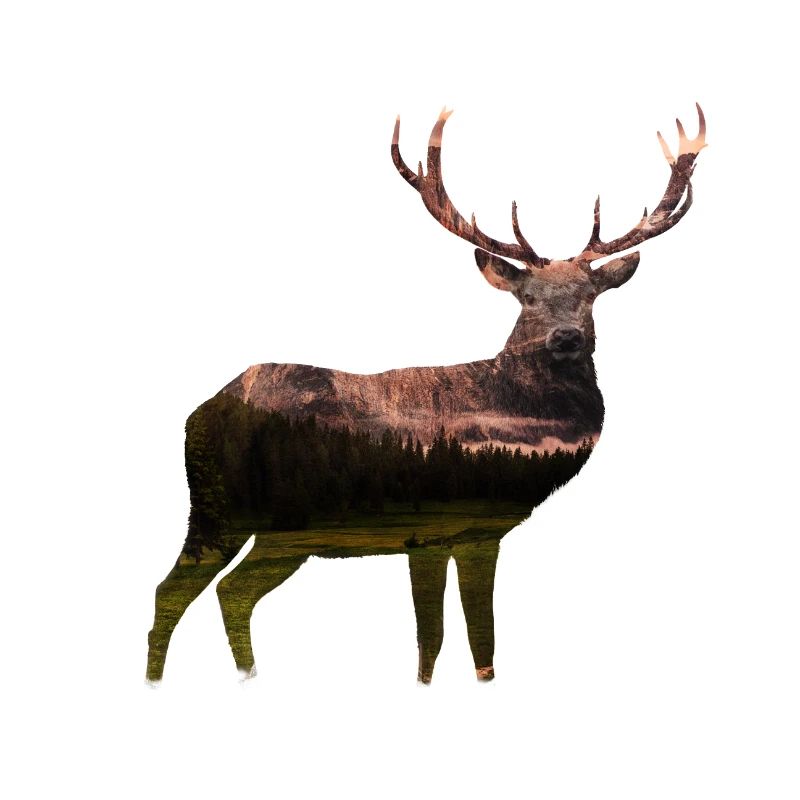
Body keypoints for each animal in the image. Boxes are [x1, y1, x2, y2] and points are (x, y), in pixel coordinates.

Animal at [146, 104, 706, 685]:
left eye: (591, 295)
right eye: (527, 297)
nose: (567, 337)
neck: (520, 418)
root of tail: (196, 415)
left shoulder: (427, 536)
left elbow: (431, 639)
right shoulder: (475, 522)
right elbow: (480, 638)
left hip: (272, 531)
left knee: (226, 592)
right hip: (226, 510)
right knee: (177, 590)